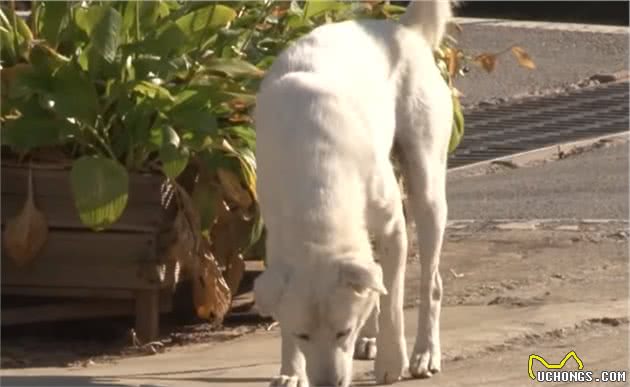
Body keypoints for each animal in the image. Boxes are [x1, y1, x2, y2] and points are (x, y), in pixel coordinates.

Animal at [254, 1, 456, 386]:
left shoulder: (393, 228)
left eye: (342, 332)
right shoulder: (275, 239)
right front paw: (291, 371)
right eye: (303, 335)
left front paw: (392, 361)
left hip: (427, 189)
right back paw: (373, 339)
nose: (328, 384)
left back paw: (425, 352)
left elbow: (393, 300)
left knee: (431, 284)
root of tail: (401, 29)